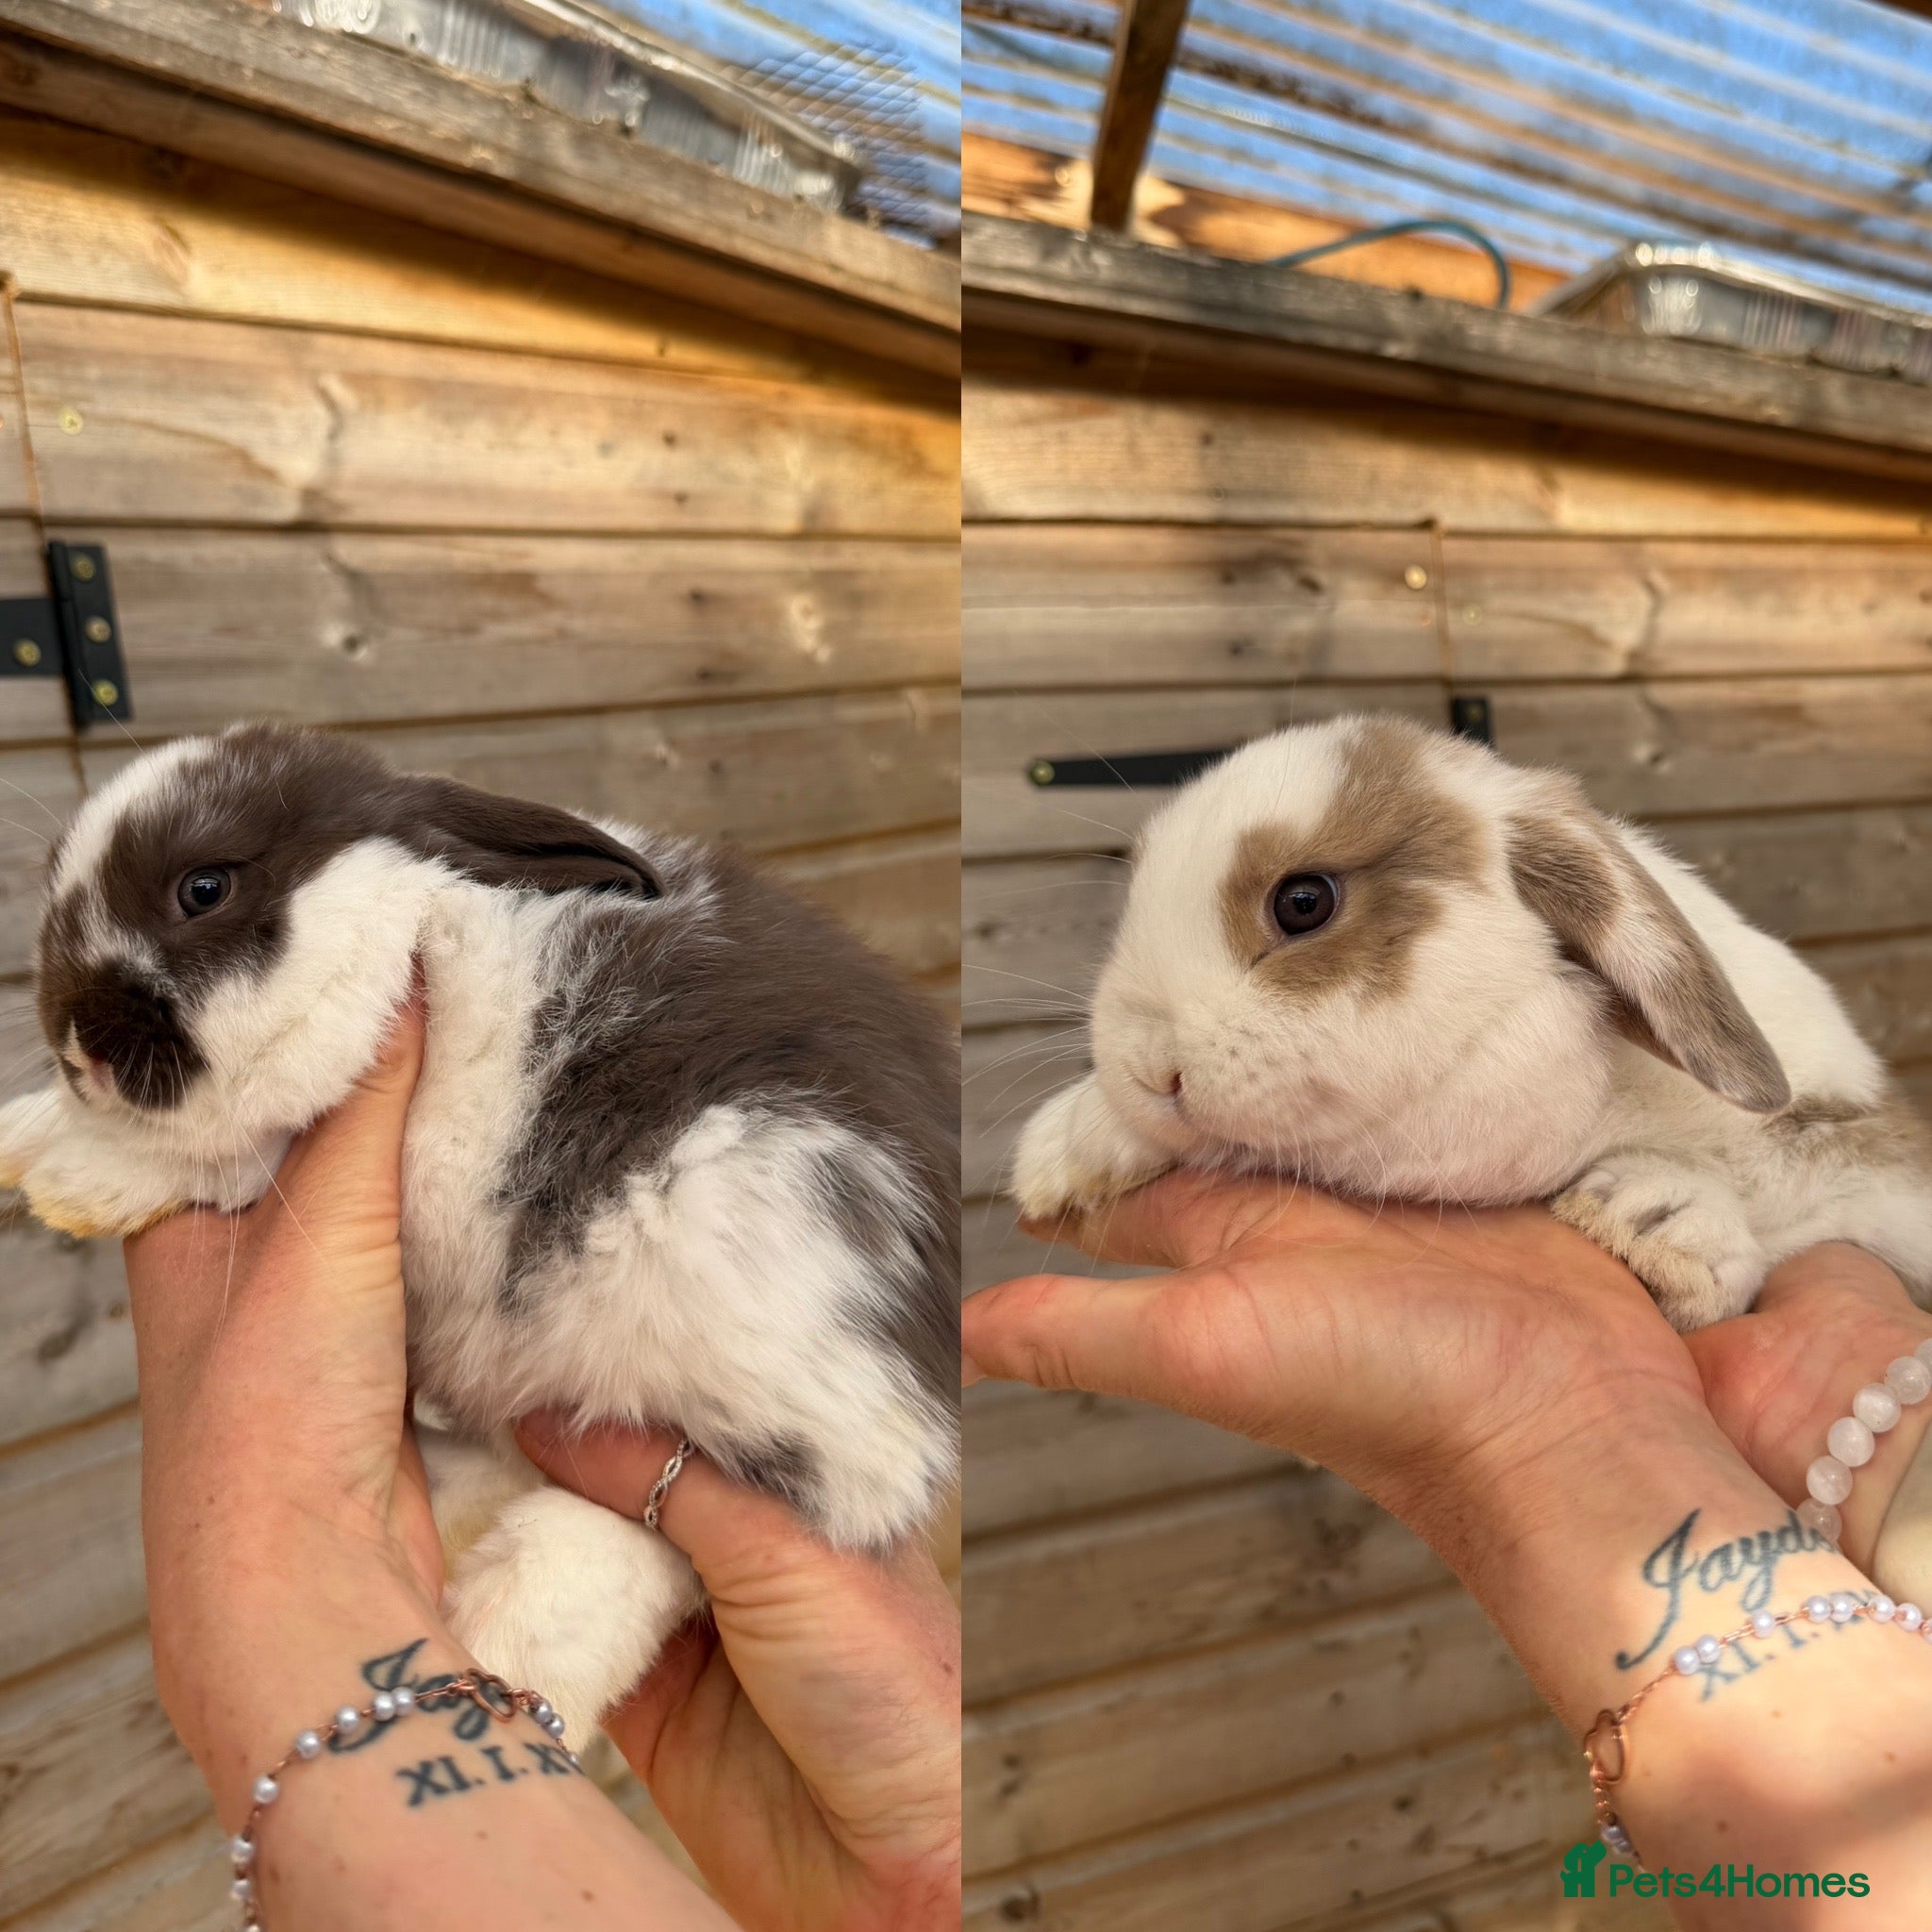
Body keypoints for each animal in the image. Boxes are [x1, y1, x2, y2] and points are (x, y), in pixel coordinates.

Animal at [0, 723, 958, 1737]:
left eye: (204, 888)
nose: (77, 1043)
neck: (414, 924)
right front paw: (26, 1134)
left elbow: (238, 1141)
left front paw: (69, 1170)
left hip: (749, 1299)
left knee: (709, 1514)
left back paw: (509, 1632)